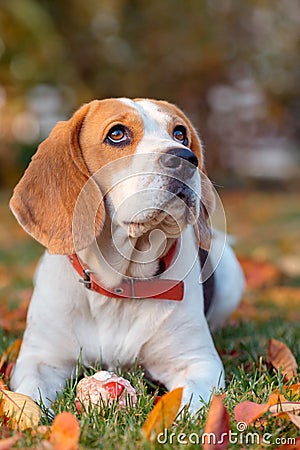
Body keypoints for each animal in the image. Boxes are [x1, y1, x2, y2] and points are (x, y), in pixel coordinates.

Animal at [9, 98, 244, 414]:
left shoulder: (197, 362)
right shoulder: (39, 361)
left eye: (180, 133)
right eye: (117, 134)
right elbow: (28, 399)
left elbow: (190, 406)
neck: (120, 284)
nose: (185, 157)